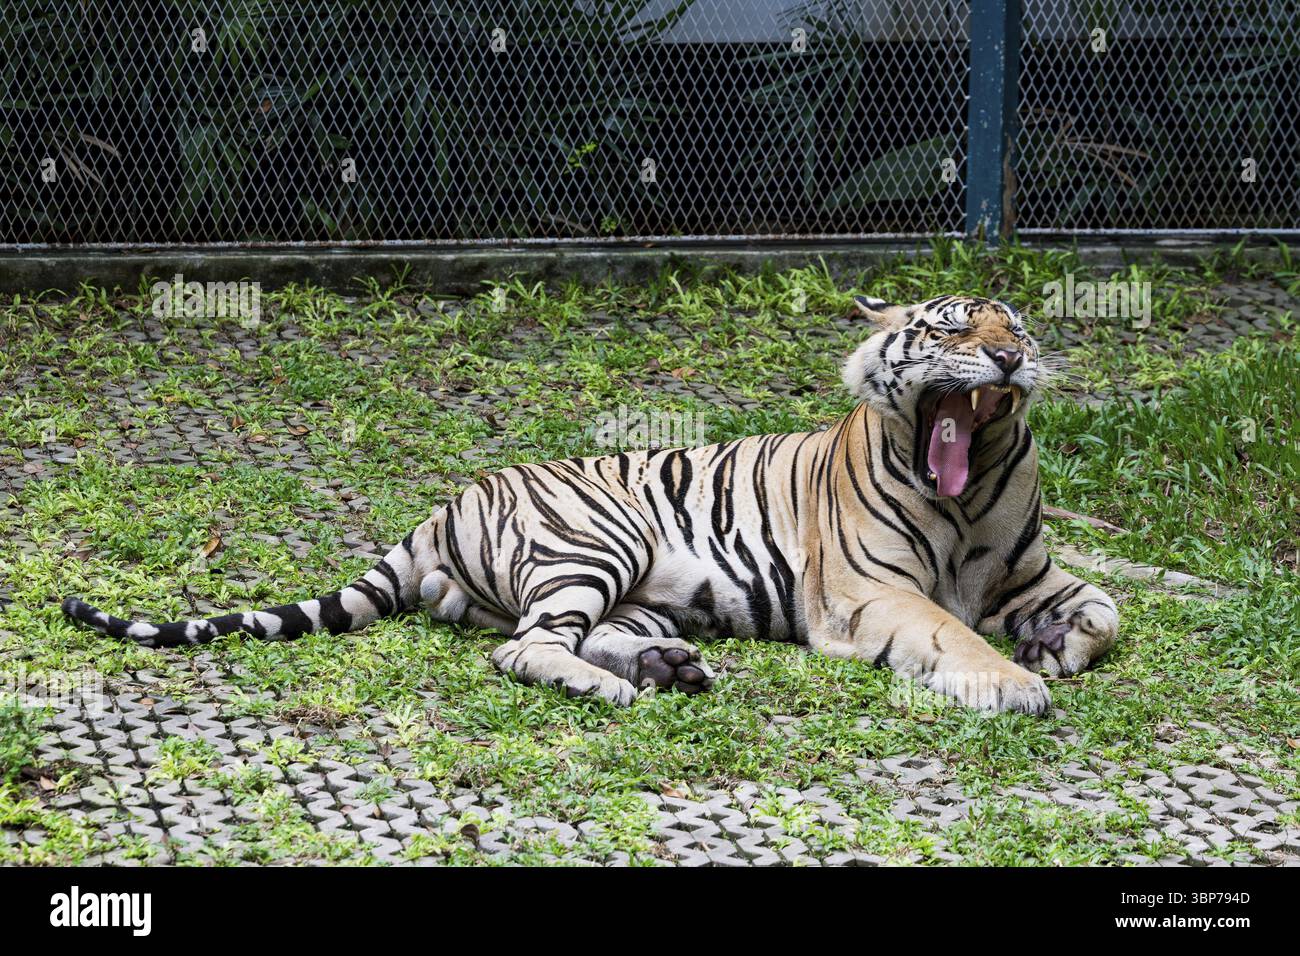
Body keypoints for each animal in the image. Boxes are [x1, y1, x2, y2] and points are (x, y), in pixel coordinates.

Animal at [63, 294, 1118, 714]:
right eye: (951, 329)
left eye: (1017, 328)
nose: (1008, 357)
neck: (965, 489)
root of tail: (444, 506)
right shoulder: (870, 593)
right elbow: (952, 634)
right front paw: (1015, 679)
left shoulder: (1032, 570)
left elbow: (1105, 609)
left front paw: (1053, 644)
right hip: (594, 544)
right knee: (523, 647)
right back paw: (620, 686)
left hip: (640, 589)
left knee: (571, 635)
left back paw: (665, 667)